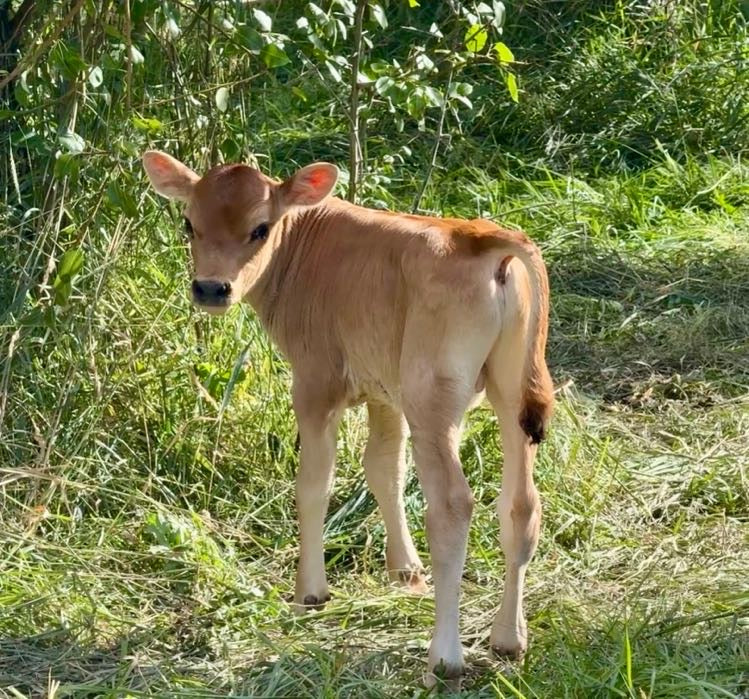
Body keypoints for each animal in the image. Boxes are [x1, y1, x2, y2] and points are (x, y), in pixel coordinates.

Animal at [142, 150, 554, 686]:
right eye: (188, 222)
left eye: (259, 228)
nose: (211, 288)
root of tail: (481, 237)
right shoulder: (385, 392)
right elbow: (384, 469)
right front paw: (405, 571)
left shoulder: (316, 384)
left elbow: (314, 484)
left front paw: (310, 591)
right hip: (509, 394)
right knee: (521, 504)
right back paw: (508, 639)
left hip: (433, 400)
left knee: (452, 506)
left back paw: (444, 657)